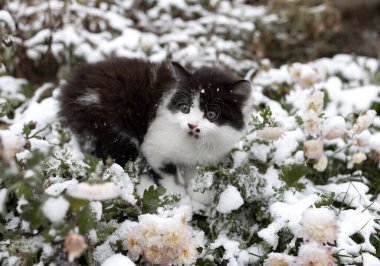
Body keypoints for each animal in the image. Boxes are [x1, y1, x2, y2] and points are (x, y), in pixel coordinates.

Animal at [58, 57, 251, 184]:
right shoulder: (154, 147)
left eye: (211, 115)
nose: (191, 125)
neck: (192, 142)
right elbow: (167, 174)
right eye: (185, 108)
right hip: (112, 125)